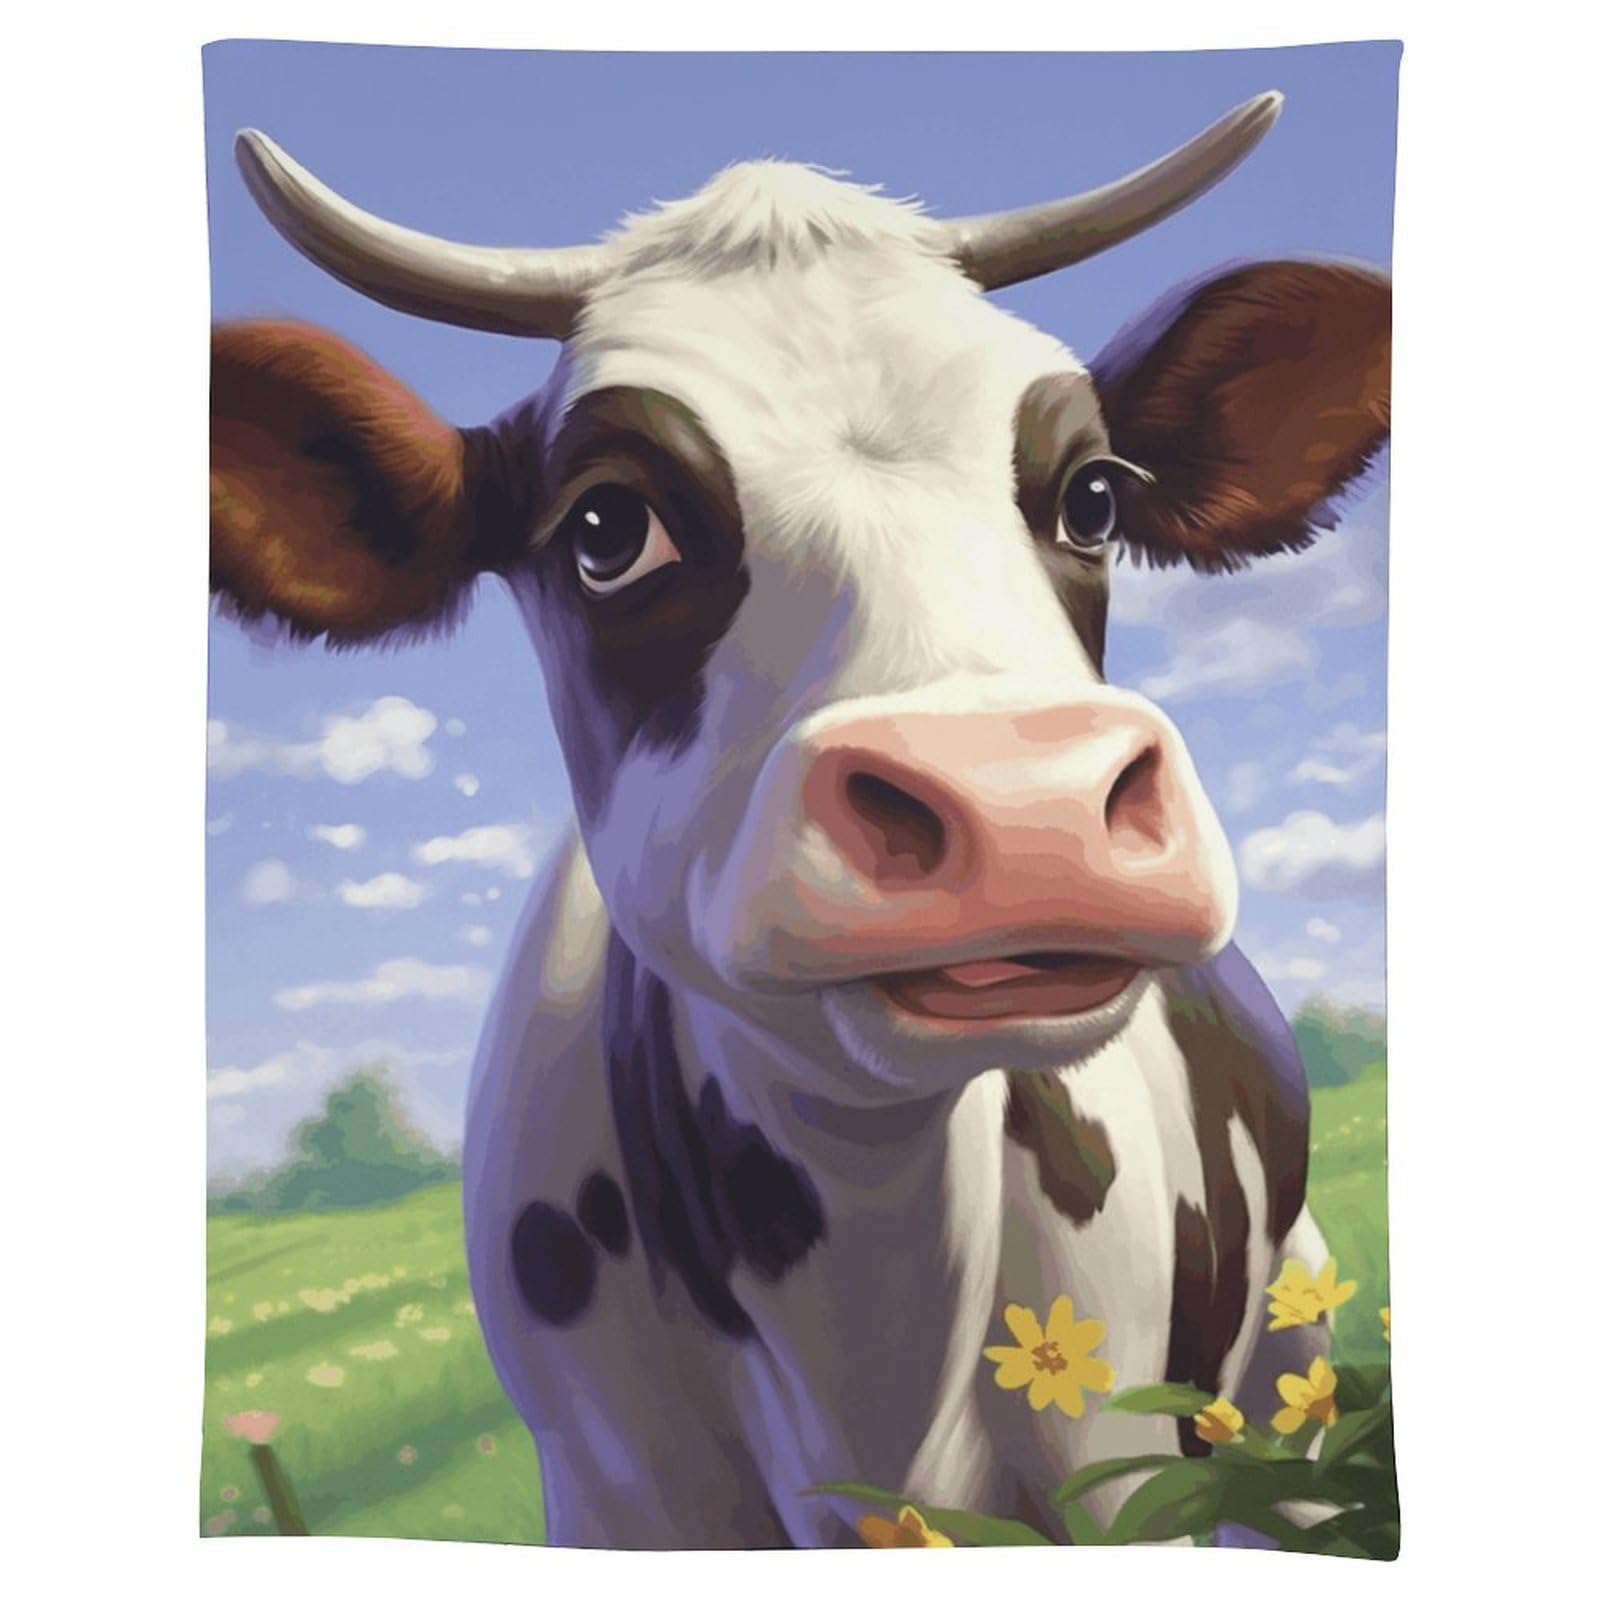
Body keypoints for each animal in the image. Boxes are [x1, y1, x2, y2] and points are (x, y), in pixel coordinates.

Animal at [209, 91, 1390, 1548]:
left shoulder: (1130, 1473)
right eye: (606, 526)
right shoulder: (610, 1494)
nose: (1026, 805)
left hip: (1295, 1336)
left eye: (1095, 495)